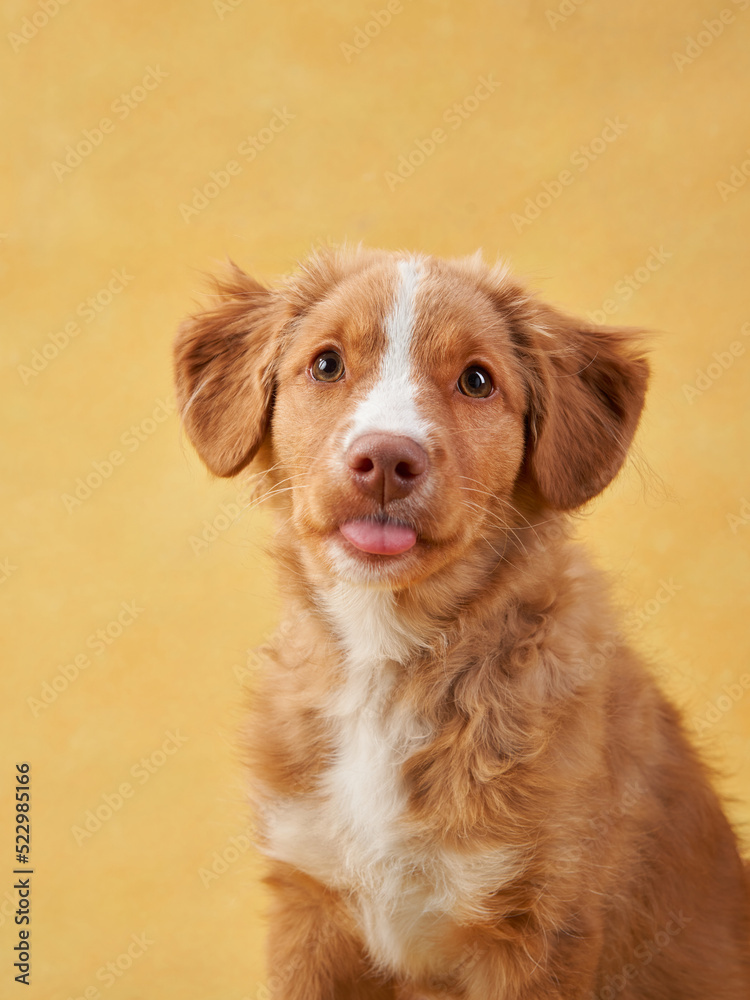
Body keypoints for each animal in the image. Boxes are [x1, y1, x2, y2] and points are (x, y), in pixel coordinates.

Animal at [173, 244, 748, 1000]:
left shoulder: (538, 932)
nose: (387, 460)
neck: (388, 661)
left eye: (477, 381)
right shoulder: (310, 901)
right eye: (326, 364)